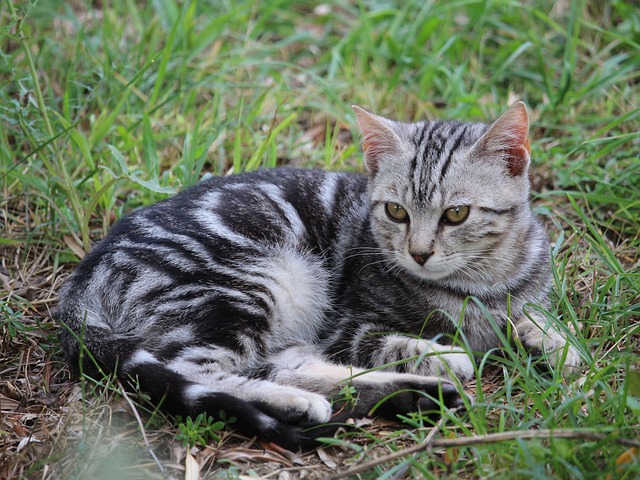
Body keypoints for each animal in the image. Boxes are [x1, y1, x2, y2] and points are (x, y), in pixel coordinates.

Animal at [56, 101, 580, 450]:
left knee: (288, 365)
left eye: (456, 214)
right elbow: (391, 341)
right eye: (396, 211)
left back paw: (414, 395)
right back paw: (305, 402)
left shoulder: (526, 291)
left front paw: (557, 343)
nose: (419, 253)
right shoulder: (345, 323)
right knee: (199, 369)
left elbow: (539, 317)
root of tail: (82, 282)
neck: (481, 283)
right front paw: (442, 352)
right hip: (254, 283)